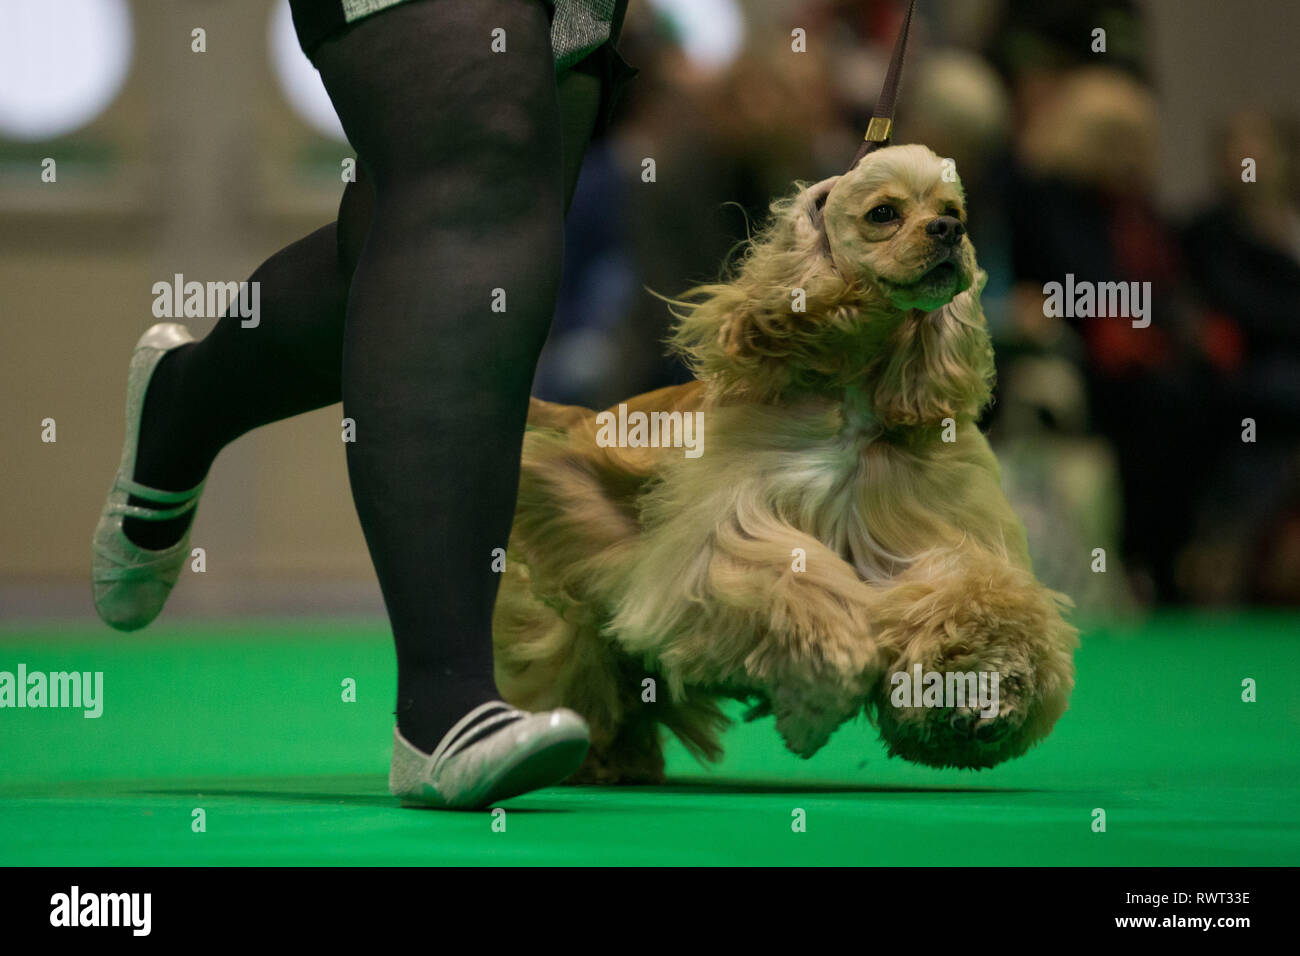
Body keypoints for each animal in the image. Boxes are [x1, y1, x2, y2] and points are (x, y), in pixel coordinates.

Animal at [488, 143, 1076, 785]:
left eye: (952, 211)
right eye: (884, 213)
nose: (950, 232)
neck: (854, 394)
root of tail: (580, 419)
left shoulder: (941, 533)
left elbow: (977, 596)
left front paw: (980, 697)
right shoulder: (729, 538)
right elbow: (802, 595)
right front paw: (816, 706)